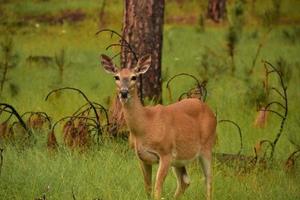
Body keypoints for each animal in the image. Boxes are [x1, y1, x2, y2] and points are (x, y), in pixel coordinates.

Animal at [100, 54, 216, 199]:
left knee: (208, 180)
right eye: (116, 77)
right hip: (179, 159)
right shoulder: (141, 157)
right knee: (185, 181)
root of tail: (210, 110)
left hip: (206, 146)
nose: (124, 92)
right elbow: (148, 188)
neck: (145, 126)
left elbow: (157, 188)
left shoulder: (165, 152)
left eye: (134, 77)